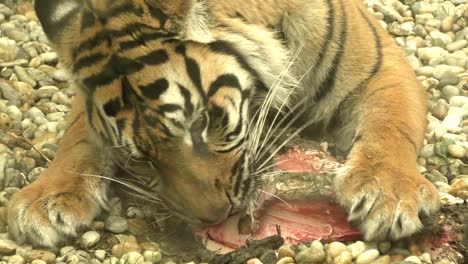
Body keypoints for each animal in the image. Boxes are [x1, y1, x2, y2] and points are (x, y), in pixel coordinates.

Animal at [6, 0, 438, 249]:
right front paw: (47, 198)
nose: (215, 218)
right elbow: (77, 139)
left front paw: (388, 192)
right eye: (142, 161)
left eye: (203, 122)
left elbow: (390, 123)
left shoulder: (381, 68)